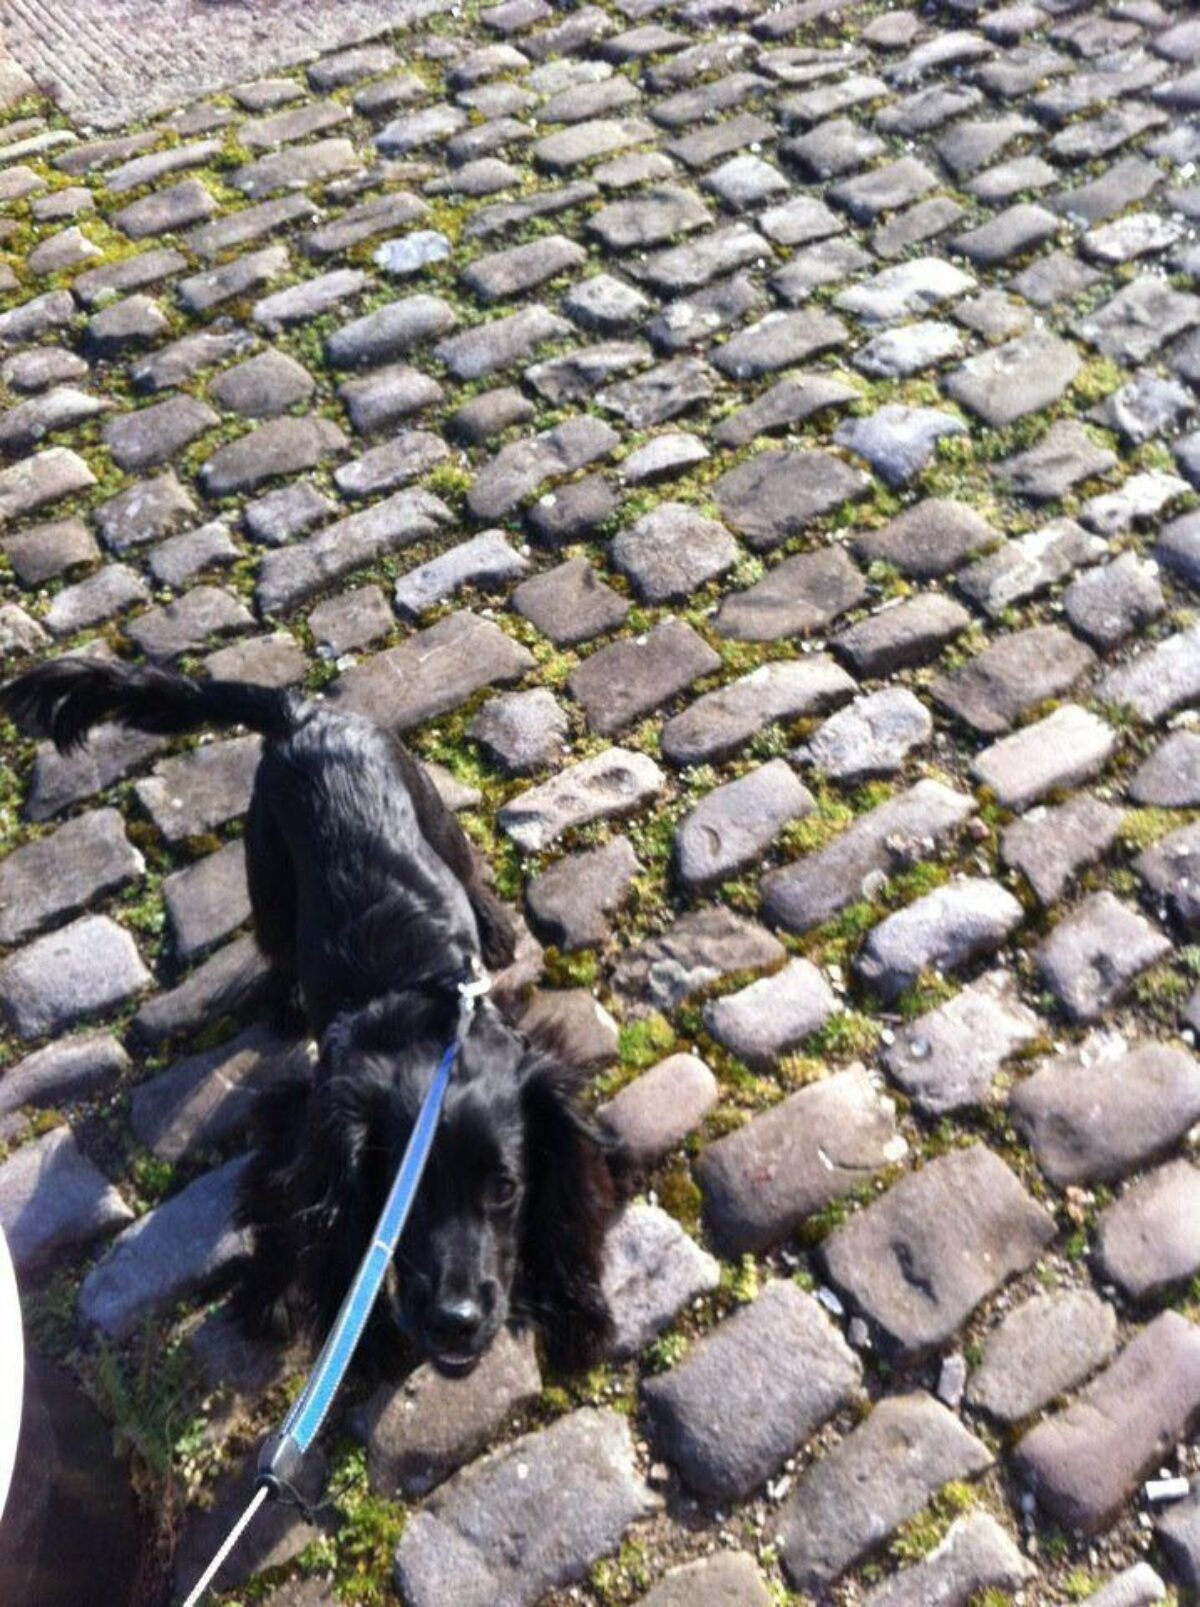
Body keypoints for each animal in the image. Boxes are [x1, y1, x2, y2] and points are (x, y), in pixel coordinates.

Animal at [0, 658, 613, 1375]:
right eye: (397, 1195)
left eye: (507, 1187)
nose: (456, 1322)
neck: (426, 1025)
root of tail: (304, 715)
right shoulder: (305, 1119)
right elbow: (290, 1208)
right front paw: (276, 1303)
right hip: (267, 867)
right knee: (279, 942)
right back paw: (290, 1001)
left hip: (423, 805)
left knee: (463, 868)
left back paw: (492, 928)